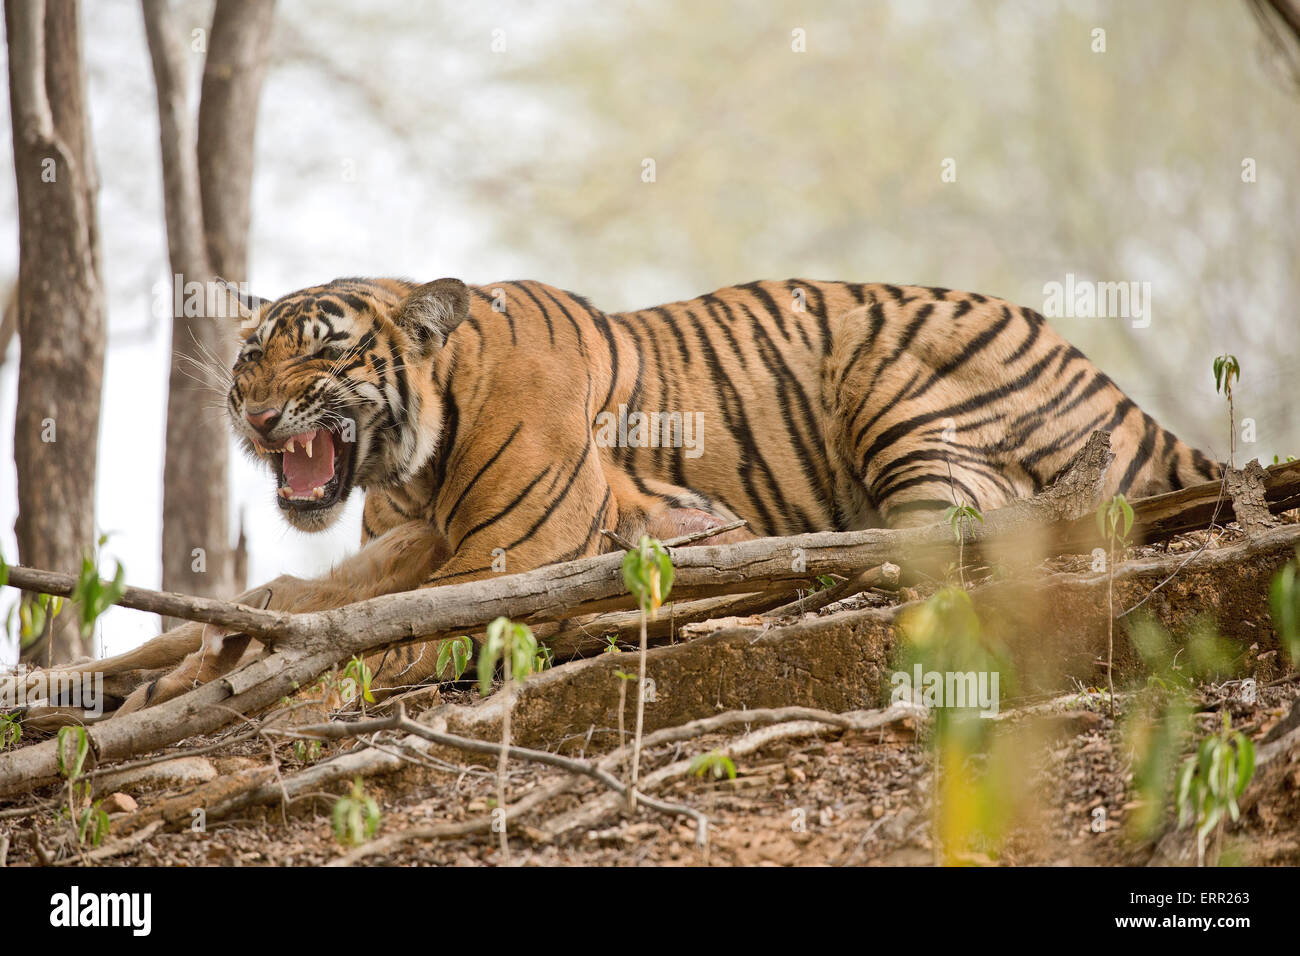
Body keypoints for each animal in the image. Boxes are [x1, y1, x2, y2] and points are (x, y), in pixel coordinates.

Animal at [65, 274, 1222, 712]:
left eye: (320, 352)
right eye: (249, 354)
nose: (252, 412)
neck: (414, 456)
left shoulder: (507, 562)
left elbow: (375, 633)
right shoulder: (403, 545)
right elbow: (256, 612)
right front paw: (115, 682)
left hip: (895, 382)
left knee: (932, 547)